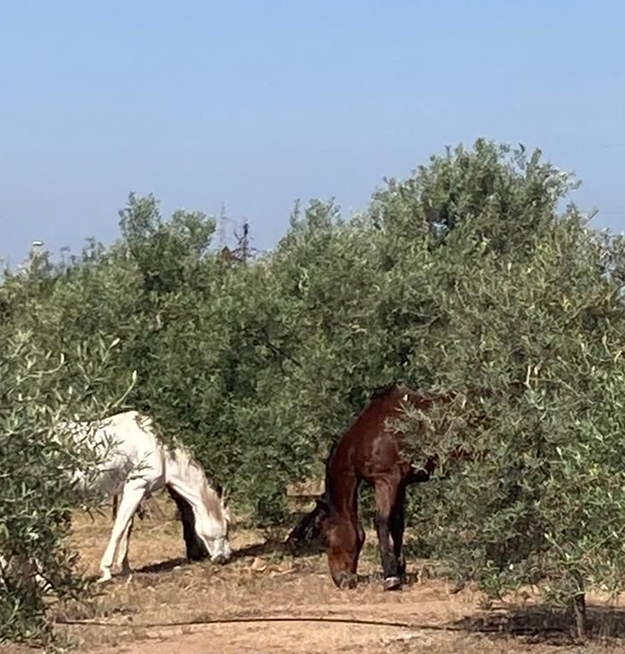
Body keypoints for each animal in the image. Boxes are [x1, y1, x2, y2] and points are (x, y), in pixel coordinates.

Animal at [59, 412, 232, 580]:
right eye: (226, 527)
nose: (225, 557)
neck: (162, 453)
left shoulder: (131, 493)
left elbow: (127, 528)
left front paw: (126, 569)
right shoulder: (135, 489)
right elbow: (119, 528)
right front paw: (106, 570)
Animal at [292, 384, 458, 596]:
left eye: (326, 538)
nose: (340, 580)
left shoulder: (385, 481)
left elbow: (382, 523)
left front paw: (390, 577)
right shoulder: (400, 484)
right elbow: (397, 525)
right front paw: (400, 570)